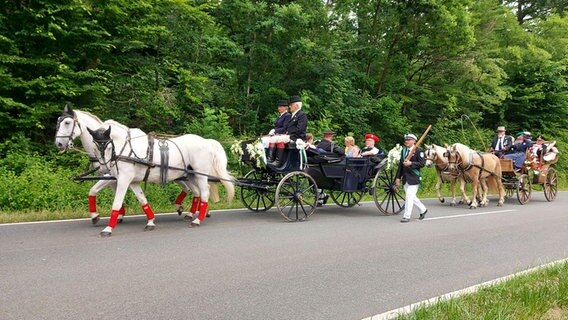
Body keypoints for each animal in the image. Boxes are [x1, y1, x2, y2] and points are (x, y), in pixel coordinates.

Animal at [85, 121, 235, 236]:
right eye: (94, 147)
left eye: (108, 146)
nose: (104, 169)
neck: (127, 149)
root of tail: (207, 142)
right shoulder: (132, 181)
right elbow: (142, 200)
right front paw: (150, 222)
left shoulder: (123, 179)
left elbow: (116, 203)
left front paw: (108, 228)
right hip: (191, 175)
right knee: (198, 192)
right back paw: (193, 214)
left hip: (200, 174)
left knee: (204, 193)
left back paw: (197, 220)